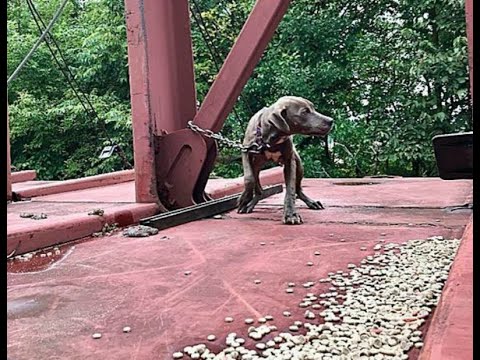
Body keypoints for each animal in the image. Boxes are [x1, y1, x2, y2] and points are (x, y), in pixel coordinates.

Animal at [236, 95, 334, 225]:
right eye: (304, 112)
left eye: (313, 107)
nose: (331, 120)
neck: (271, 138)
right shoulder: (246, 151)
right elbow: (249, 178)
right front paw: (244, 199)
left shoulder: (289, 162)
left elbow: (290, 190)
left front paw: (290, 214)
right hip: (256, 165)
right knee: (258, 187)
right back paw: (249, 204)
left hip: (299, 165)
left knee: (298, 188)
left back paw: (311, 202)